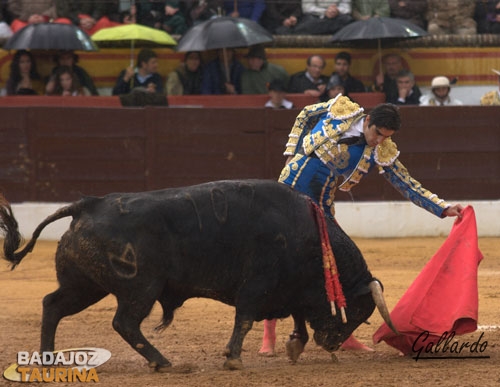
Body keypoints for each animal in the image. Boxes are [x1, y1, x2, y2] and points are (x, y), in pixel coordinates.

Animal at [1, 180, 396, 372]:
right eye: (356, 312)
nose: (331, 343)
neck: (309, 234)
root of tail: (87, 205)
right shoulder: (257, 285)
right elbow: (245, 318)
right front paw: (233, 358)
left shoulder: (288, 289)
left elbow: (296, 313)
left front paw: (295, 345)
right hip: (140, 288)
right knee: (124, 323)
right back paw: (162, 362)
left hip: (86, 285)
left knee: (52, 304)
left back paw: (47, 358)